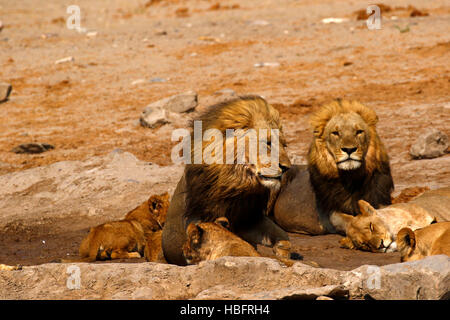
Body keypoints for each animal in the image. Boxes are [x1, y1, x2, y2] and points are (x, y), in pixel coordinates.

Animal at [162, 96, 292, 266]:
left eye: (284, 145)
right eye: (267, 143)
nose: (287, 168)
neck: (235, 186)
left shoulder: (250, 218)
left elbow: (283, 237)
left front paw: (282, 251)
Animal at [270, 99, 394, 234]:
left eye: (359, 132)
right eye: (335, 133)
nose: (349, 149)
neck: (351, 177)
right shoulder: (331, 213)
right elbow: (350, 220)